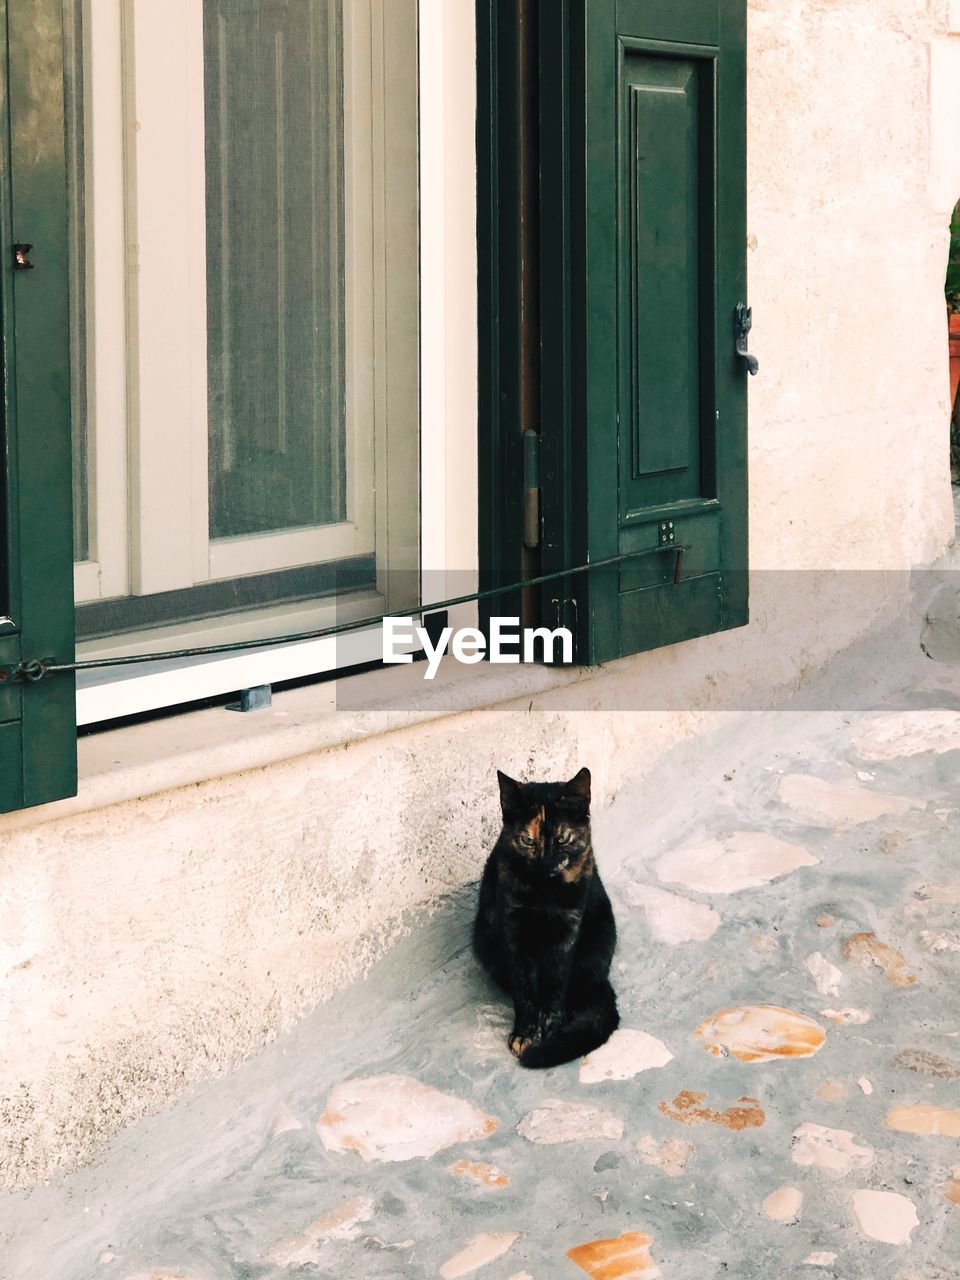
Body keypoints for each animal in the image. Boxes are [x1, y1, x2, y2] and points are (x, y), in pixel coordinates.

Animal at [476, 768, 624, 1070]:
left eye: (562, 840)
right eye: (528, 841)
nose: (544, 864)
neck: (545, 893)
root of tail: (601, 980)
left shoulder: (567, 934)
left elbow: (555, 987)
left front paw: (551, 1032)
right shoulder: (513, 933)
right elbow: (525, 991)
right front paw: (525, 1033)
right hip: (484, 938)